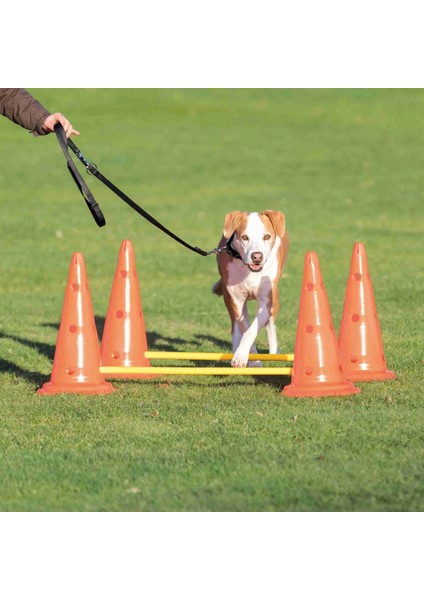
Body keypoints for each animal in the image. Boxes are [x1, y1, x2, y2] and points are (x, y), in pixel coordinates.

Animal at [212, 211, 288, 370]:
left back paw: (274, 354)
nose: (257, 256)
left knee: (270, 324)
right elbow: (245, 328)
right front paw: (249, 360)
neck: (249, 271)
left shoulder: (266, 301)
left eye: (267, 236)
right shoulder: (237, 300)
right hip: (229, 298)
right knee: (235, 325)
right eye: (245, 237)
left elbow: (252, 330)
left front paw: (244, 356)